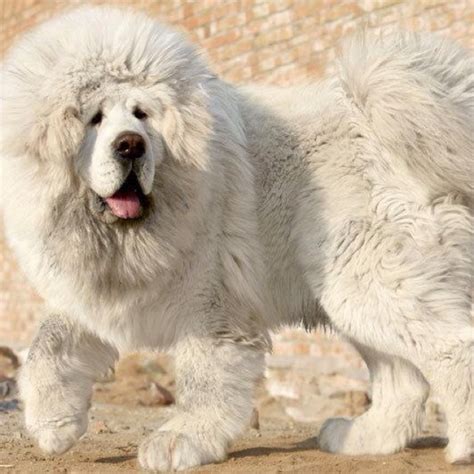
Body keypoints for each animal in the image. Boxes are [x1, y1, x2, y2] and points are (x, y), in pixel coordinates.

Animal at [1, 6, 472, 470]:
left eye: (142, 114)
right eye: (94, 119)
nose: (131, 145)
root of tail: (373, 113)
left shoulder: (214, 302)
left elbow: (203, 376)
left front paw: (182, 439)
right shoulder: (99, 290)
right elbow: (46, 345)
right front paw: (53, 425)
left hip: (369, 280)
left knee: (453, 347)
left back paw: (463, 444)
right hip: (350, 292)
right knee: (402, 380)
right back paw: (361, 438)